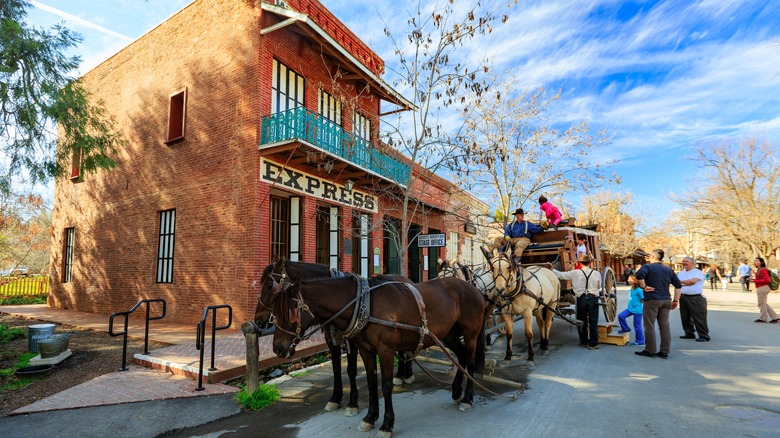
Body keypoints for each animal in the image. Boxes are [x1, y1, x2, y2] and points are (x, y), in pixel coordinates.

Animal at [256, 258, 414, 416]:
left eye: (270, 286)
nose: (258, 320)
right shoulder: (330, 340)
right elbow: (336, 368)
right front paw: (335, 398)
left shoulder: (353, 340)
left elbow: (351, 369)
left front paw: (352, 402)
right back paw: (402, 374)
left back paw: (404, 375)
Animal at [272, 276, 484, 436]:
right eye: (275, 313)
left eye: (289, 313)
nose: (278, 349)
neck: (365, 305)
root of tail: (472, 287)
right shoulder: (366, 350)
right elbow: (372, 382)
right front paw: (369, 418)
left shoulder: (386, 351)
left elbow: (386, 385)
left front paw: (386, 425)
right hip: (448, 334)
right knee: (461, 357)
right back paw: (456, 390)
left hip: (470, 333)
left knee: (470, 361)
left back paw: (467, 399)